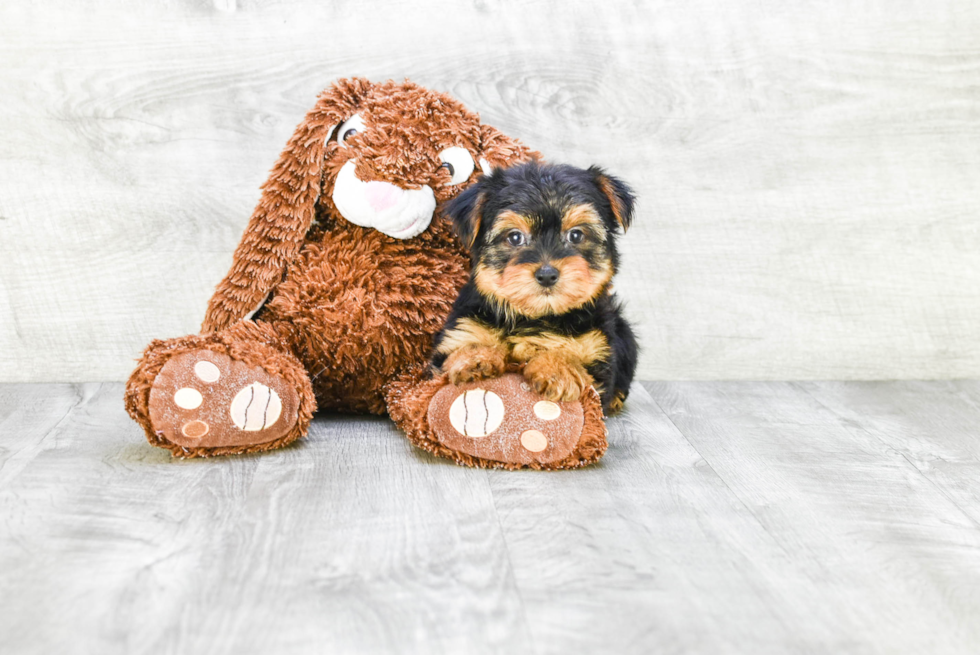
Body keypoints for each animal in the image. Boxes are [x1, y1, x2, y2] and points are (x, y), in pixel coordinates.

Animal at [432, 161, 640, 412]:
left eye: (576, 235)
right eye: (515, 237)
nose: (547, 275)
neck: (535, 316)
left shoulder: (595, 350)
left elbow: (570, 355)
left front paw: (558, 370)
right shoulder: (462, 329)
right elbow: (467, 344)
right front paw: (474, 359)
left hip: (623, 333)